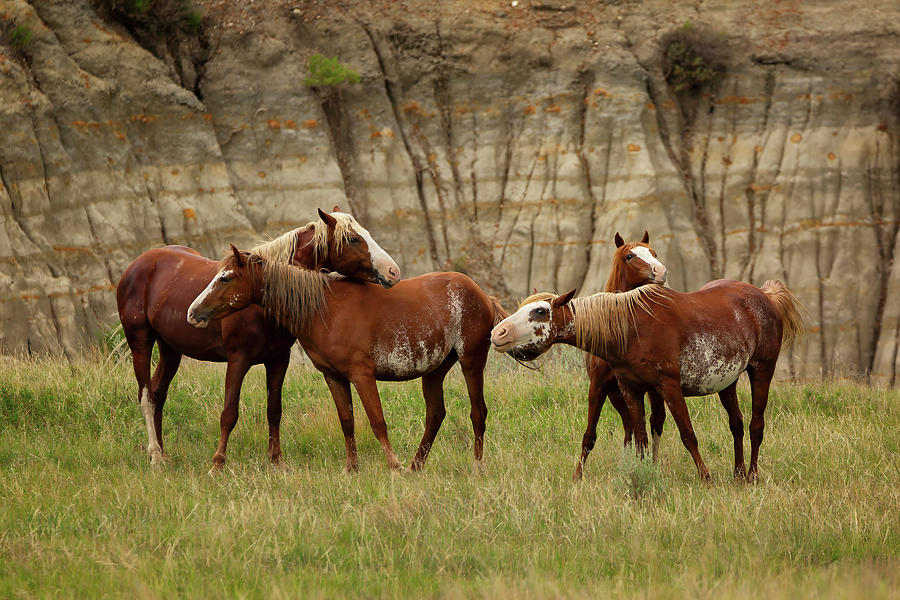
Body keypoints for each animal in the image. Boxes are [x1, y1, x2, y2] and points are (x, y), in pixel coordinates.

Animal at [116, 209, 398, 472]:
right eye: (353, 239)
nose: (392, 271)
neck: (261, 301)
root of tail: (138, 264)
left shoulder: (278, 360)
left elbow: (274, 410)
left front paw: (277, 461)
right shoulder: (238, 360)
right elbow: (229, 413)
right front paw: (218, 464)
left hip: (170, 349)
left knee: (158, 393)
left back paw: (162, 454)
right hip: (140, 344)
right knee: (146, 396)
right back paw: (155, 456)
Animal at [187, 246, 512, 472]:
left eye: (226, 277)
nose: (193, 311)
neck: (323, 309)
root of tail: (482, 295)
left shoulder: (362, 375)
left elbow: (377, 421)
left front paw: (393, 467)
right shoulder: (334, 376)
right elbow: (347, 421)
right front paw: (352, 468)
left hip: (471, 362)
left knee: (478, 413)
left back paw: (476, 466)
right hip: (434, 371)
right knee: (435, 415)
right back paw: (415, 466)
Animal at [496, 278, 804, 480]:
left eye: (540, 311)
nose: (498, 333)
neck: (631, 328)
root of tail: (765, 295)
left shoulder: (669, 387)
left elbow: (688, 435)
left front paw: (705, 477)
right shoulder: (631, 390)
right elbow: (641, 438)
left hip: (762, 371)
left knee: (755, 426)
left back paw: (751, 475)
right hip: (727, 383)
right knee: (737, 425)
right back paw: (738, 473)